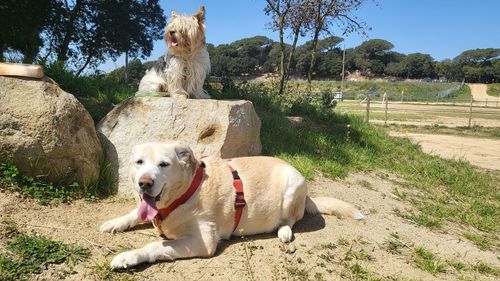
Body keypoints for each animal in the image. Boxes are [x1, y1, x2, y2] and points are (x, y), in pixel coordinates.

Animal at [100, 141, 364, 268]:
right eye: (139, 162)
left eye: (164, 164)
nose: (144, 183)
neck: (186, 192)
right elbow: (134, 213)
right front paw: (114, 222)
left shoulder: (203, 242)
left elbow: (156, 245)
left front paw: (128, 257)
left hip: (292, 187)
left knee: (290, 221)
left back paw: (284, 232)